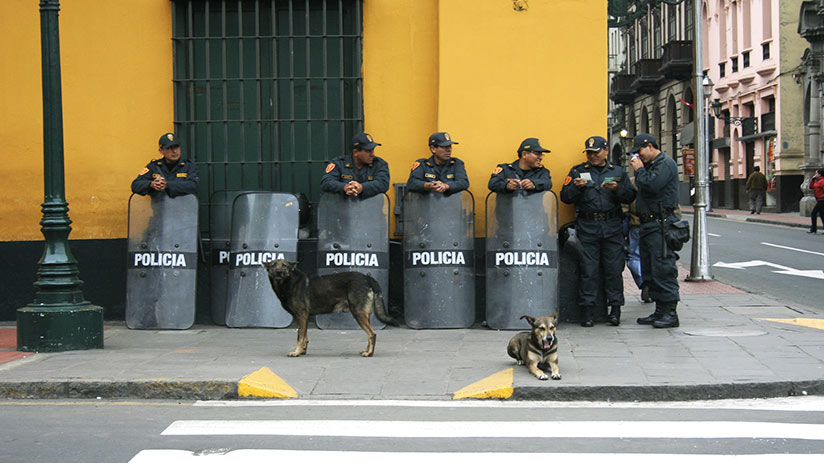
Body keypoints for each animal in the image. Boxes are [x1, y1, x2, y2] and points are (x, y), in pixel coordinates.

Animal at [260, 260, 396, 358]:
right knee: (369, 334)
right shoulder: (303, 318)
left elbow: (300, 337)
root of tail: (367, 278)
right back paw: (367, 350)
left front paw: (296, 352)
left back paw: (369, 353)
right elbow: (304, 336)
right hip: (364, 315)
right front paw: (302, 351)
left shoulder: (301, 315)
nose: (279, 272)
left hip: (358, 313)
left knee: (372, 333)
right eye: (273, 265)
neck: (288, 282)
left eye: (285, 265)